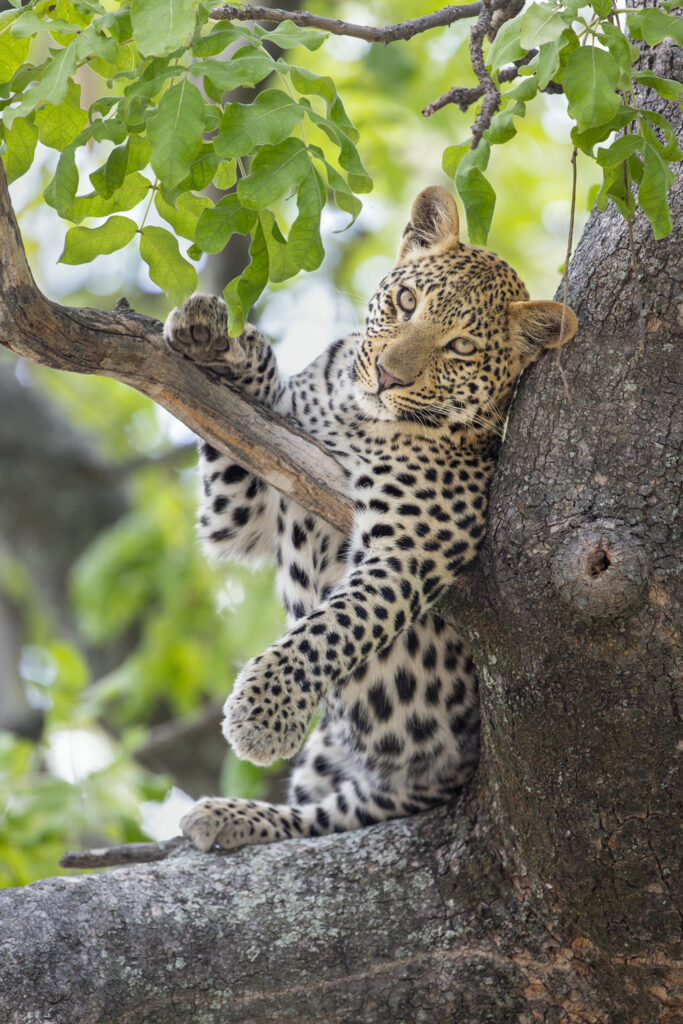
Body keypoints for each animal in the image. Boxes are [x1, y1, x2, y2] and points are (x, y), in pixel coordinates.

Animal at [164, 186, 577, 853]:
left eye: (461, 347)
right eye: (407, 302)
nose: (388, 375)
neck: (352, 414)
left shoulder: (406, 553)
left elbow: (336, 626)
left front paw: (263, 711)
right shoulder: (245, 510)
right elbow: (237, 422)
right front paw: (215, 339)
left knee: (334, 815)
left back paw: (230, 810)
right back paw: (231, 818)